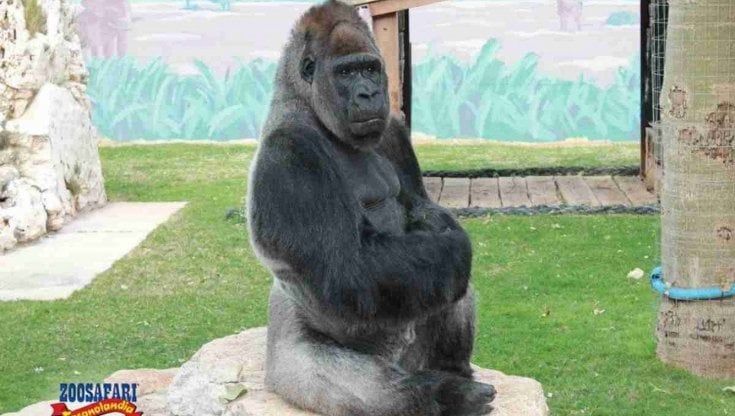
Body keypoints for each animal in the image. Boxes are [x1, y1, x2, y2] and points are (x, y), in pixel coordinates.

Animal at [247, 2, 495, 415]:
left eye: (369, 68)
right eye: (346, 73)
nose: (368, 93)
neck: (305, 101)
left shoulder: (393, 129)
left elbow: (424, 213)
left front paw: (439, 222)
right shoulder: (289, 155)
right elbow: (347, 267)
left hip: (413, 355)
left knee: (447, 281)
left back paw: (453, 373)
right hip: (291, 364)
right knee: (377, 393)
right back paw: (442, 394)